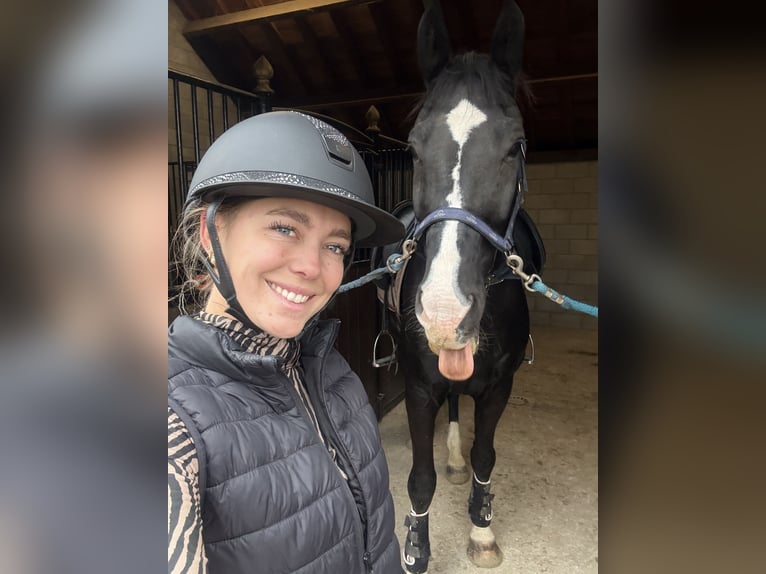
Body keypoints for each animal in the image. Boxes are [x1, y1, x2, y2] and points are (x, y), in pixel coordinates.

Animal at [374, 1, 542, 571]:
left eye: (515, 146)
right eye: (413, 148)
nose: (446, 314)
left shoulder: (499, 389)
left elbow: (486, 456)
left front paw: (482, 531)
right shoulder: (419, 389)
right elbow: (419, 480)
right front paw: (416, 549)